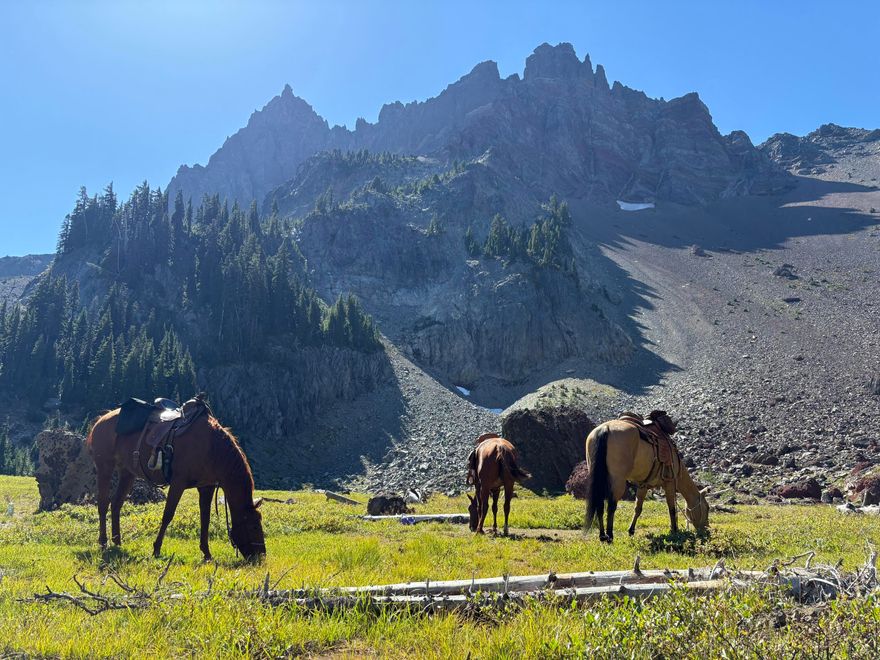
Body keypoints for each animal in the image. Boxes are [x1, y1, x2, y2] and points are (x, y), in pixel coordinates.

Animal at [87, 408, 266, 561]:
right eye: (254, 527)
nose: (261, 556)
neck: (211, 448)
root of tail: (100, 421)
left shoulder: (206, 487)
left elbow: (205, 519)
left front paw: (206, 552)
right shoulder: (178, 483)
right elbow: (168, 515)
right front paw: (156, 548)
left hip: (127, 473)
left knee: (116, 504)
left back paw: (117, 541)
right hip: (105, 467)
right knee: (103, 504)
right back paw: (103, 542)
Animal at [583, 412, 708, 542]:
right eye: (707, 508)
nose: (706, 528)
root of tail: (605, 429)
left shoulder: (643, 485)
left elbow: (638, 508)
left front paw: (631, 530)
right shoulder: (669, 483)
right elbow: (672, 508)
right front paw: (675, 530)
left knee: (600, 505)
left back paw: (602, 535)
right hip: (618, 480)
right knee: (611, 506)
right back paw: (609, 536)